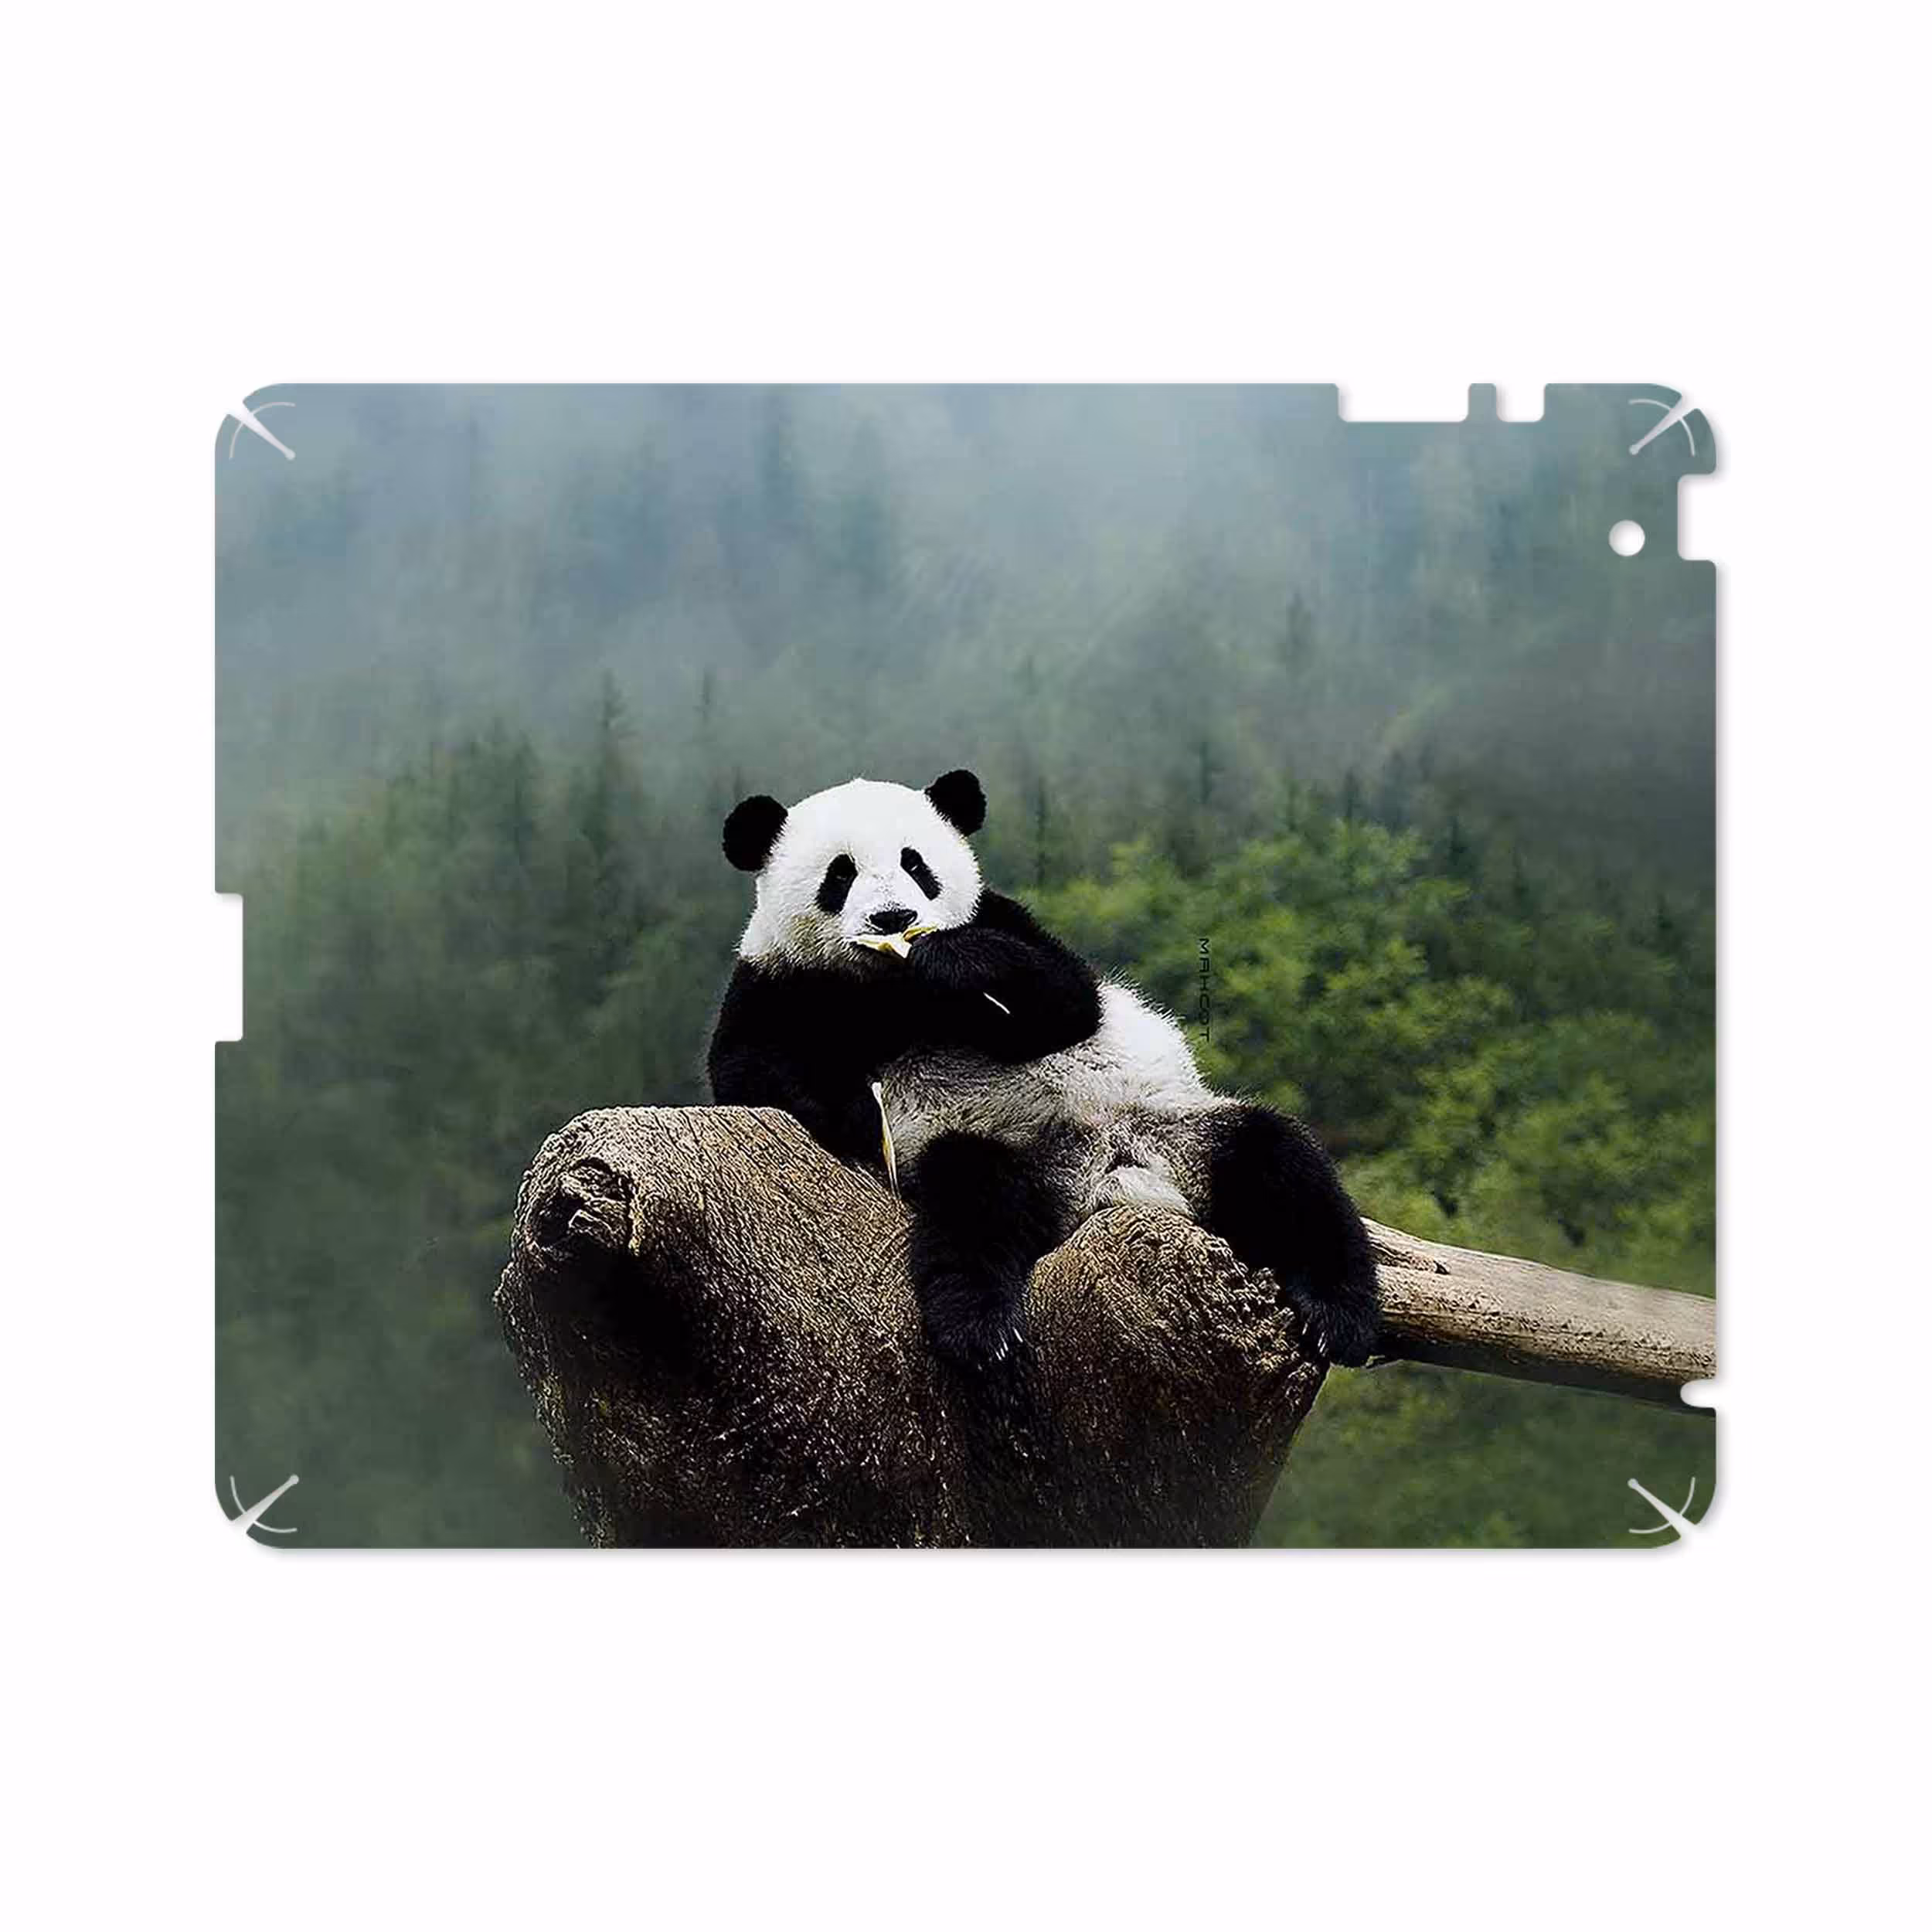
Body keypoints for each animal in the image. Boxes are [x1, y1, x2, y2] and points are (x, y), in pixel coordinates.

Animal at [707, 768, 1380, 1372]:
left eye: (916, 865)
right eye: (840, 874)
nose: (895, 919)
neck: (890, 989)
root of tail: (1107, 1179)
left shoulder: (1002, 919)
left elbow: (1068, 999)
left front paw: (950, 960)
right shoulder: (777, 982)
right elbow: (749, 1071)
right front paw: (855, 1113)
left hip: (1178, 1129)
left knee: (1282, 1164)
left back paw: (1339, 1316)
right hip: (997, 1150)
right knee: (973, 1203)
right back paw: (980, 1329)